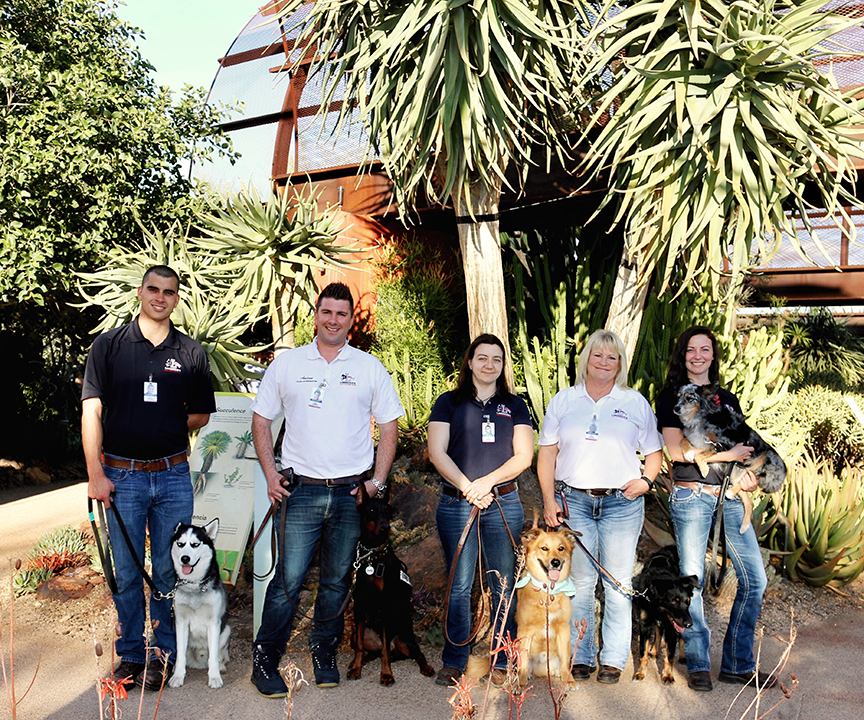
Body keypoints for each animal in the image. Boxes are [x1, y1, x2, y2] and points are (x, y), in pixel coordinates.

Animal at [167, 520, 230, 688]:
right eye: (180, 544)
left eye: (195, 544)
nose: (185, 558)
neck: (194, 586)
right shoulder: (181, 622)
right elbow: (181, 656)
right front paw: (178, 676)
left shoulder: (214, 623)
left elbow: (213, 656)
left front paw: (214, 677)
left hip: (226, 630)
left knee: (218, 654)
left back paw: (221, 665)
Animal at [348, 480, 436, 684]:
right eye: (372, 509)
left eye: (387, 510)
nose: (386, 526)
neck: (371, 556)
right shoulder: (359, 604)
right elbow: (359, 647)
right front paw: (356, 668)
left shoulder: (386, 604)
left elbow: (386, 652)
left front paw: (387, 675)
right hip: (358, 633)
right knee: (373, 650)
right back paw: (356, 663)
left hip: (404, 639)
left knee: (414, 653)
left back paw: (426, 668)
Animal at [632, 548, 700, 684]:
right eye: (674, 602)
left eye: (688, 602)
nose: (689, 624)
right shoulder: (645, 623)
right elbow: (643, 652)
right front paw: (640, 672)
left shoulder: (672, 627)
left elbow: (670, 656)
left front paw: (668, 675)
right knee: (658, 632)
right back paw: (654, 652)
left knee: (680, 637)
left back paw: (682, 656)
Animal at [676, 386, 788, 532]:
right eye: (678, 396)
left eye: (690, 398)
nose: (675, 408)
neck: (701, 417)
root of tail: (784, 470)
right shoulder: (695, 439)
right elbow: (683, 441)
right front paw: (688, 453)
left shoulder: (721, 445)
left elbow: (700, 455)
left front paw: (704, 469)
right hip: (735, 476)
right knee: (749, 502)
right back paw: (744, 525)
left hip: (761, 460)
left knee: (753, 477)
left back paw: (730, 494)